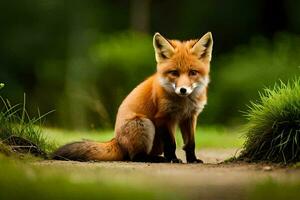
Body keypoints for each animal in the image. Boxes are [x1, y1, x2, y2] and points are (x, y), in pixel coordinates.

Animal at [54, 32, 213, 163]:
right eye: (174, 73)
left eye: (193, 72)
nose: (183, 90)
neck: (184, 103)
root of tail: (116, 140)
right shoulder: (163, 117)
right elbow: (171, 144)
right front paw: (173, 159)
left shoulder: (190, 117)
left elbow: (190, 144)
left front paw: (192, 160)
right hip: (145, 123)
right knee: (135, 157)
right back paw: (158, 159)